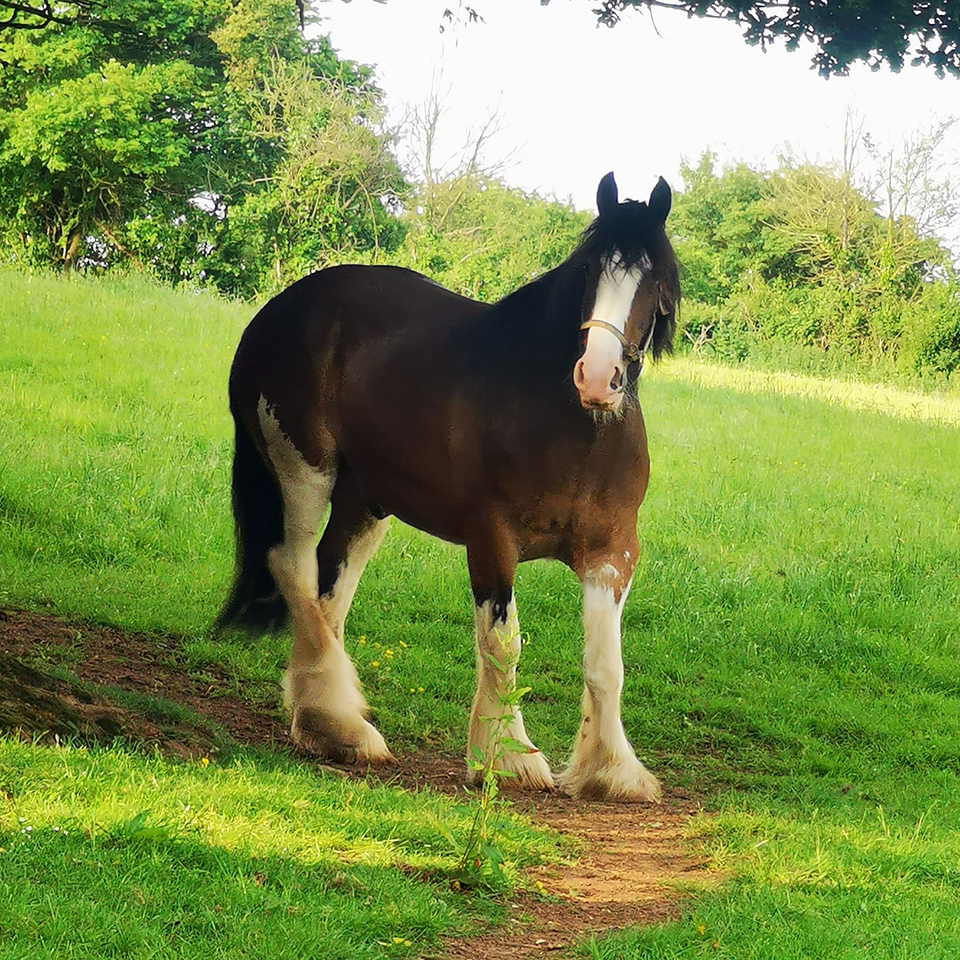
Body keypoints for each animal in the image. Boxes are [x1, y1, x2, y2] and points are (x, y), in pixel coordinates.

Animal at [220, 172, 680, 804]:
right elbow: (503, 647)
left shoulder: (612, 555)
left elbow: (606, 664)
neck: (572, 426)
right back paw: (340, 718)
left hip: (365, 503)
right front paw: (507, 757)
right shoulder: (491, 542)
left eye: (653, 278)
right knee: (291, 566)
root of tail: (277, 311)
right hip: (303, 473)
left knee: (328, 589)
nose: (597, 377)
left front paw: (612, 770)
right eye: (589, 268)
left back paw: (328, 726)